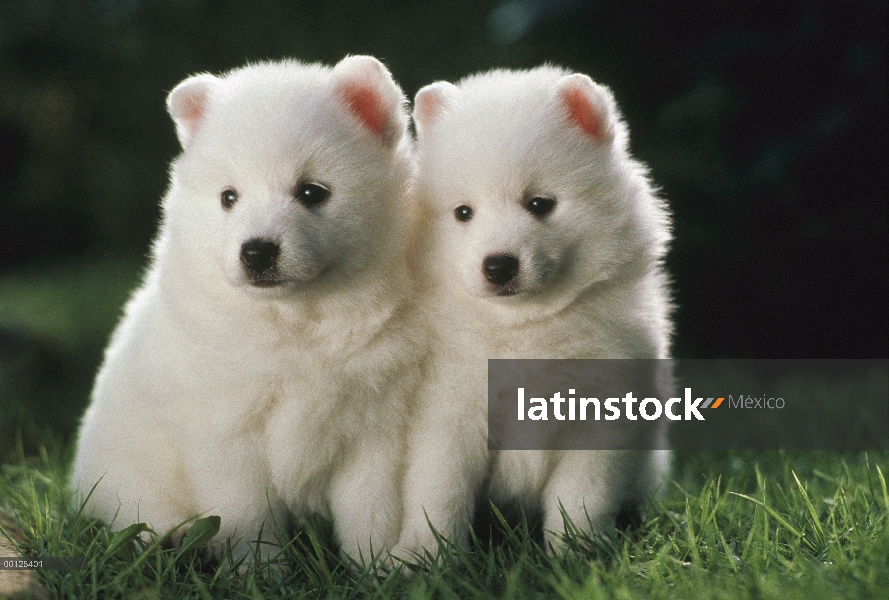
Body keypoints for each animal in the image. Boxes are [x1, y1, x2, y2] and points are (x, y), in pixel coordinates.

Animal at [71, 54, 418, 564]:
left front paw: (376, 567)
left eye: (312, 192)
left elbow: (370, 511)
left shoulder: (374, 429)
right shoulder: (229, 432)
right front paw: (261, 571)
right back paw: (166, 540)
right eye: (228, 198)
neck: (297, 320)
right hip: (123, 472)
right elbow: (248, 517)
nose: (256, 251)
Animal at [398, 67, 672, 556]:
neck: (525, 324)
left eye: (540, 204)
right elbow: (440, 489)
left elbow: (583, 493)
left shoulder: (601, 412)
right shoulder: (449, 411)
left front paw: (578, 551)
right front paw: (424, 555)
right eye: (463, 212)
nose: (498, 265)